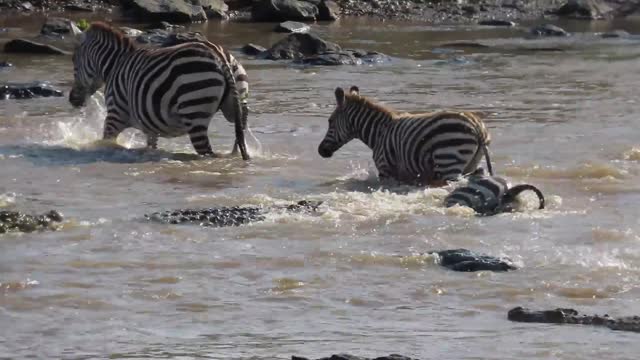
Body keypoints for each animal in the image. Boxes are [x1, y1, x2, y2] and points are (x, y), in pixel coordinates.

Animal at [69, 20, 249, 159]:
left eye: (73, 60)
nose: (72, 100)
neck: (115, 65)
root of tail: (220, 57)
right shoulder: (150, 124)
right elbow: (151, 146)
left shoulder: (115, 115)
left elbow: (106, 143)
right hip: (237, 104)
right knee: (238, 139)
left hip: (194, 108)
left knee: (207, 152)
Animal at [318, 85, 492, 186]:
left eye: (330, 121)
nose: (321, 151)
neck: (379, 133)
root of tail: (477, 126)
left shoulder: (385, 169)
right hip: (470, 163)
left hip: (448, 160)